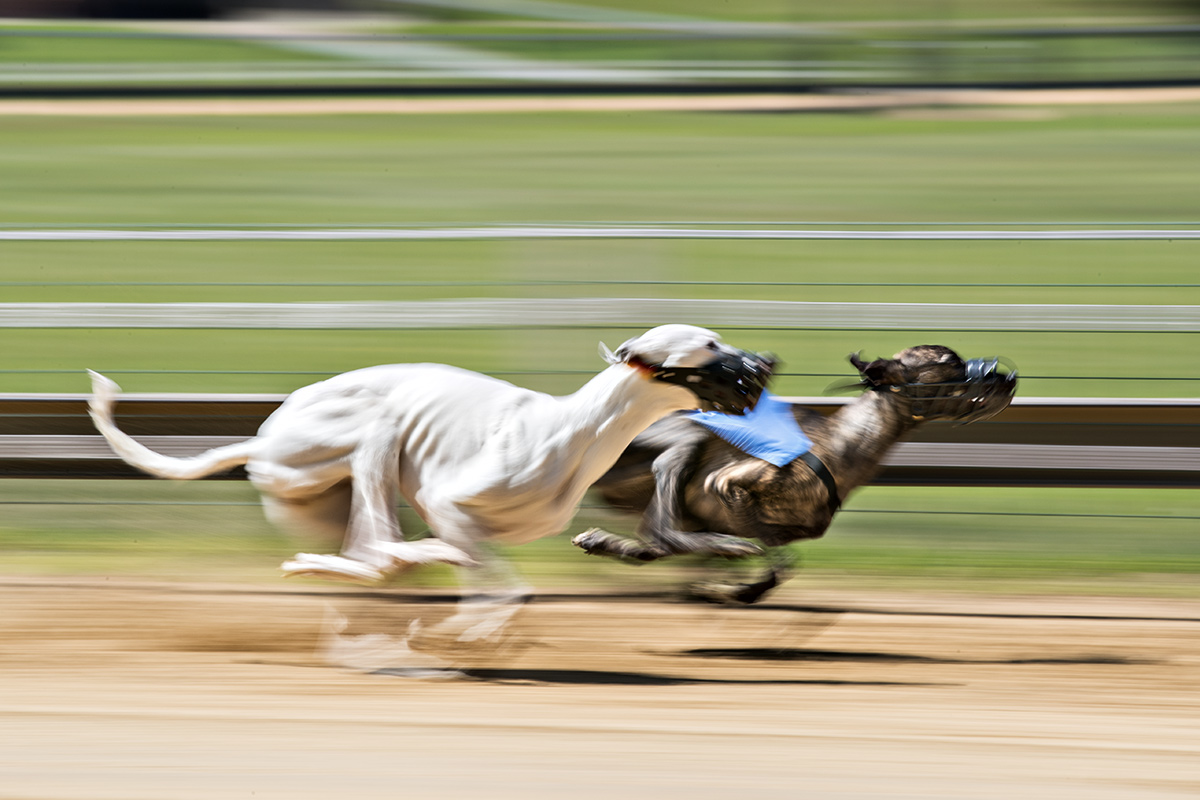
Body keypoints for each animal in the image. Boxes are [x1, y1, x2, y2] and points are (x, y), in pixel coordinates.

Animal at [88, 324, 774, 588]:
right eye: (708, 346)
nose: (766, 362)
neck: (571, 431)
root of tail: (263, 437)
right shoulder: (450, 500)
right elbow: (443, 553)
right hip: (371, 434)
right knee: (374, 552)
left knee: (369, 554)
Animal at [572, 345, 1017, 603]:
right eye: (951, 363)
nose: (1008, 377)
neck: (843, 441)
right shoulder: (729, 483)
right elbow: (772, 558)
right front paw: (735, 581)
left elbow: (779, 561)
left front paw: (731, 586)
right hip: (684, 438)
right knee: (662, 531)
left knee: (654, 539)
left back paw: (604, 541)